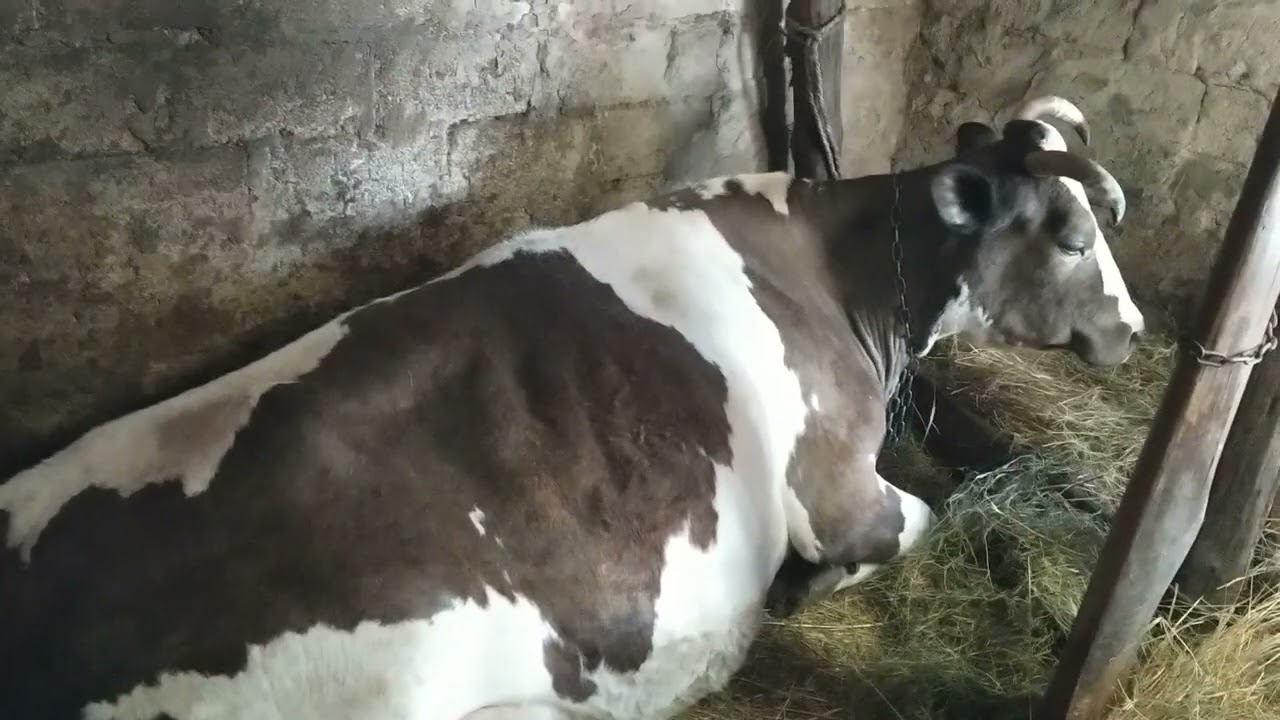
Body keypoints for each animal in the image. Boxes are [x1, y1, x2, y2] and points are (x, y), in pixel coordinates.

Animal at [0, 95, 1143, 720]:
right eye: (1071, 235)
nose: (1133, 330)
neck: (837, 276)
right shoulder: (837, 487)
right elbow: (920, 517)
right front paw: (803, 594)